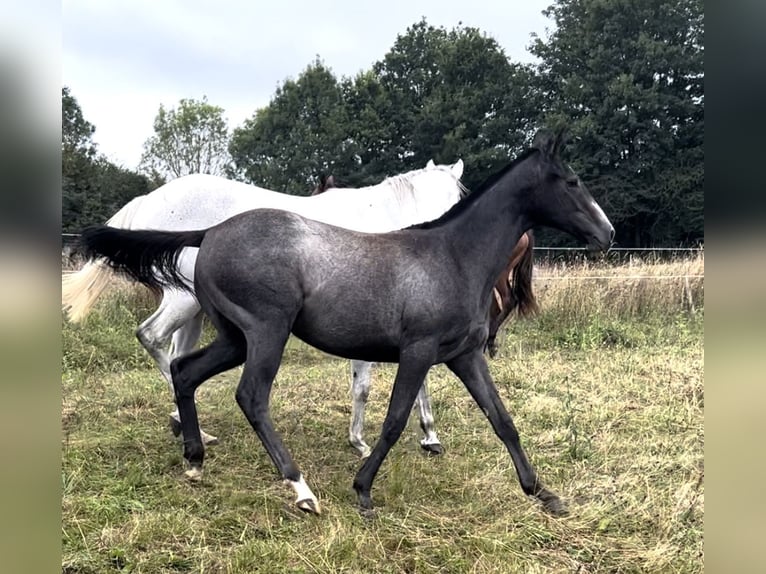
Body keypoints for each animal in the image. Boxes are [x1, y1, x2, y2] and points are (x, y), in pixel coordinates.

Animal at [79, 130, 616, 516]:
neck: (452, 256)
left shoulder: (463, 356)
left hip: (234, 337)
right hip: (265, 332)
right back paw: (300, 489)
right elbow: (394, 418)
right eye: (572, 182)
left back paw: (195, 458)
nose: (607, 233)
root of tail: (207, 232)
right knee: (247, 395)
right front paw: (363, 490)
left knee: (185, 370)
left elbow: (502, 419)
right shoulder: (417, 351)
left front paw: (542, 492)